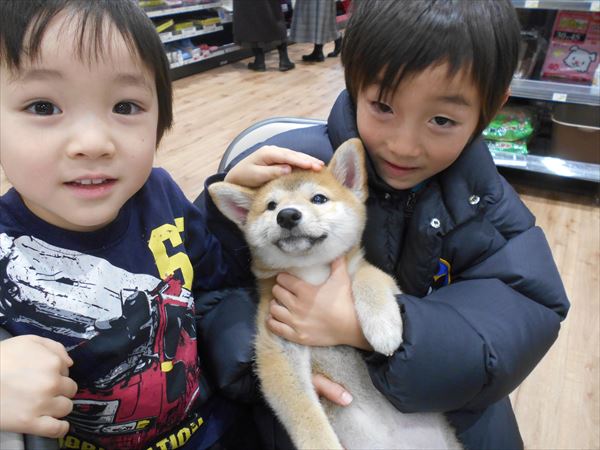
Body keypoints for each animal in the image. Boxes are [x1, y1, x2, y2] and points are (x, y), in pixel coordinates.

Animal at [209, 138, 462, 449]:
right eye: (270, 206)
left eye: (318, 199)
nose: (287, 215)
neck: (314, 276)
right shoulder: (278, 349)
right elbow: (303, 412)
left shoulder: (375, 276)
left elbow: (368, 279)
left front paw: (383, 328)